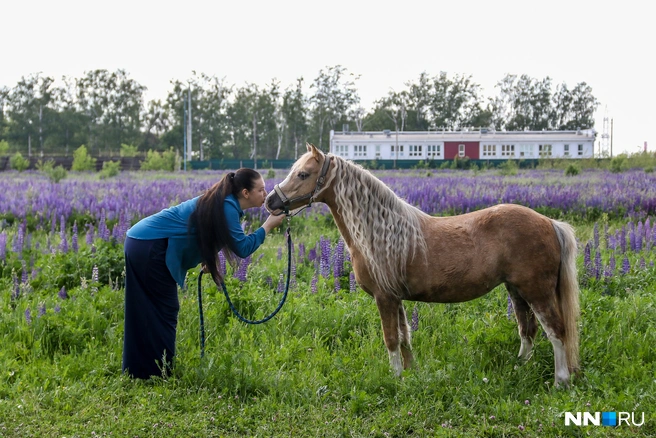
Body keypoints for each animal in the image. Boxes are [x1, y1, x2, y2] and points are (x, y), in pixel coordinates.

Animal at [266, 144, 580, 386]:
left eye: (303, 174)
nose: (271, 202)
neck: (379, 231)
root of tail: (550, 223)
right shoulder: (396, 298)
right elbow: (405, 337)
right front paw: (410, 373)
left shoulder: (384, 297)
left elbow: (391, 339)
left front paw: (395, 379)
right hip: (517, 291)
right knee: (528, 330)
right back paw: (520, 368)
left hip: (536, 291)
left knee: (556, 330)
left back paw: (560, 381)